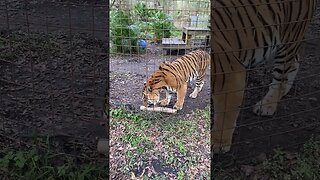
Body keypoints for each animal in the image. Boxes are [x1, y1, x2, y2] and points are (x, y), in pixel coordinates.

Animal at [211, 0, 318, 154]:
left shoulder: (230, 74)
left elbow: (226, 113)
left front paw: (219, 143)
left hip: (289, 38)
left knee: (281, 77)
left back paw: (267, 105)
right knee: (295, 62)